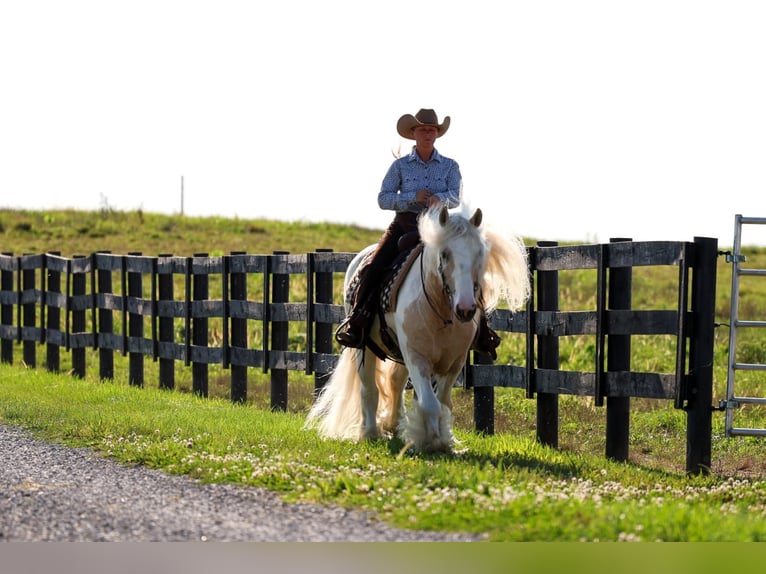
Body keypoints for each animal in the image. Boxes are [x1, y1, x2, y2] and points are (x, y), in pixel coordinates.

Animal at [305, 205, 530, 453]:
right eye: (444, 254)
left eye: (479, 254)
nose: (465, 308)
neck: (442, 314)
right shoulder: (417, 358)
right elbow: (430, 403)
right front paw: (432, 442)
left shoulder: (454, 363)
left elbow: (443, 404)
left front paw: (444, 441)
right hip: (364, 348)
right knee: (369, 389)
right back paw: (370, 433)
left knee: (394, 383)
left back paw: (393, 426)